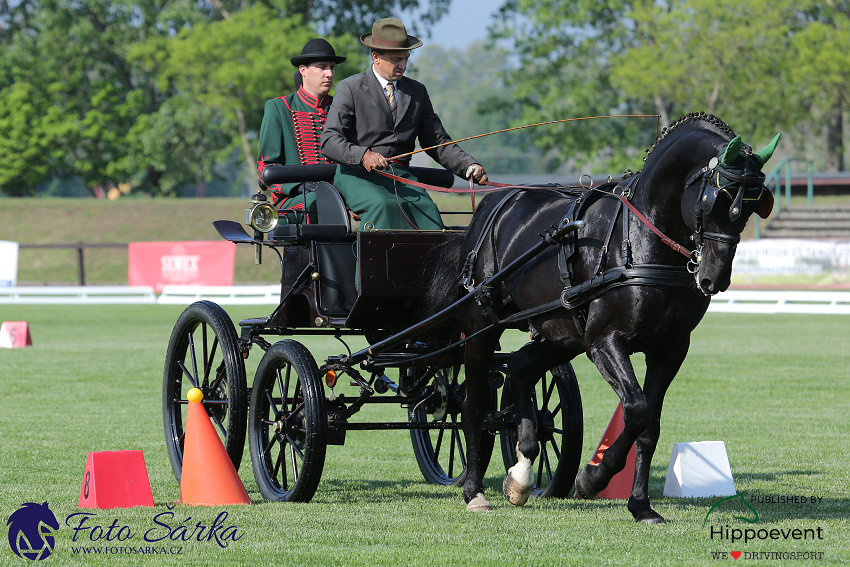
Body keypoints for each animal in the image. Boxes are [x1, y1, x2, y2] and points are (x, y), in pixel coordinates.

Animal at [428, 114, 780, 524]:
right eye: (715, 199)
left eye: (756, 204)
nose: (714, 278)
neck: (640, 242)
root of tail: (495, 202)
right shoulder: (604, 341)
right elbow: (637, 411)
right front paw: (593, 478)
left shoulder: (670, 348)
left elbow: (650, 424)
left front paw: (640, 505)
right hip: (482, 327)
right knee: (472, 404)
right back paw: (473, 489)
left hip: (560, 333)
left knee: (520, 368)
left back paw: (522, 472)